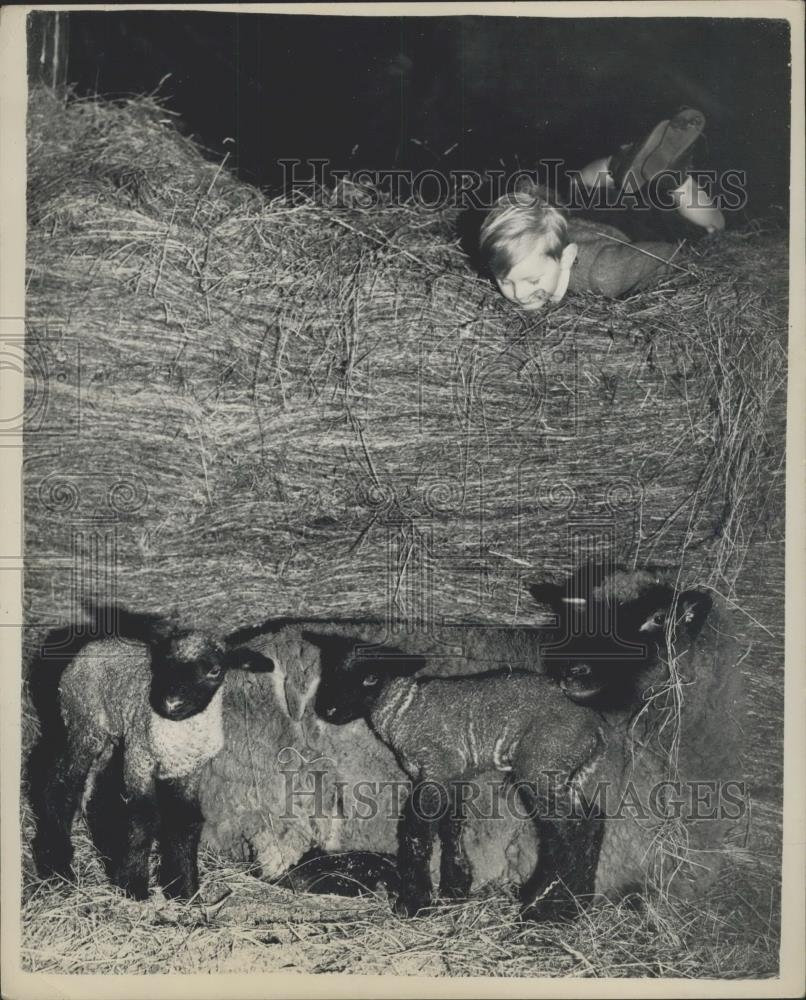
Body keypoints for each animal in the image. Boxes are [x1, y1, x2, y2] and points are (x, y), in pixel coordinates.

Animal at [27, 604, 274, 904]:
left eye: (215, 670)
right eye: (164, 662)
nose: (172, 703)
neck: (178, 734)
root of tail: (95, 643)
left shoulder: (189, 771)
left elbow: (186, 820)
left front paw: (185, 890)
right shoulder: (140, 756)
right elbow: (143, 817)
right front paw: (133, 886)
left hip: (111, 737)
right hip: (85, 724)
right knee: (60, 784)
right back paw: (57, 866)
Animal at [306, 632, 608, 920]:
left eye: (371, 678)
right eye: (331, 669)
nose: (328, 711)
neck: (404, 710)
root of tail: (595, 726)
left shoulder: (436, 767)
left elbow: (417, 833)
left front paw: (414, 902)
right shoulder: (455, 775)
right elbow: (452, 827)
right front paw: (454, 891)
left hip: (543, 762)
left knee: (568, 830)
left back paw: (546, 908)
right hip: (566, 771)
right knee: (591, 818)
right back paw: (575, 901)